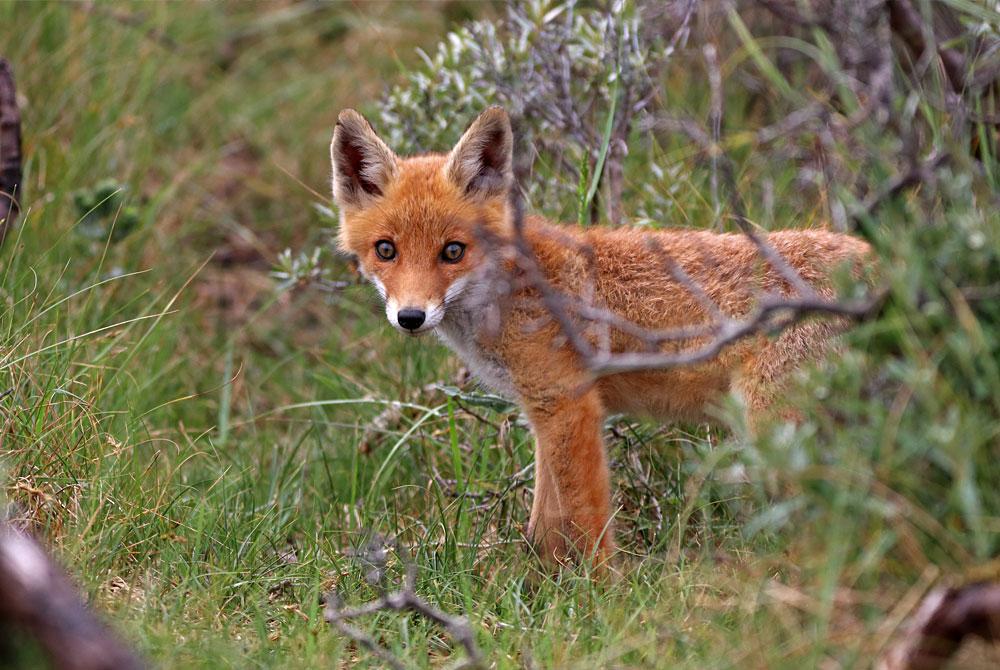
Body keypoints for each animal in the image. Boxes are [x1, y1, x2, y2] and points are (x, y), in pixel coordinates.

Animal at [332, 105, 872, 568]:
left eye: (452, 252)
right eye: (386, 250)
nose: (411, 316)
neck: (512, 290)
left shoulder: (570, 406)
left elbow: (584, 518)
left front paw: (600, 592)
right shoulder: (545, 410)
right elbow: (546, 523)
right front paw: (542, 587)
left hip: (772, 426)